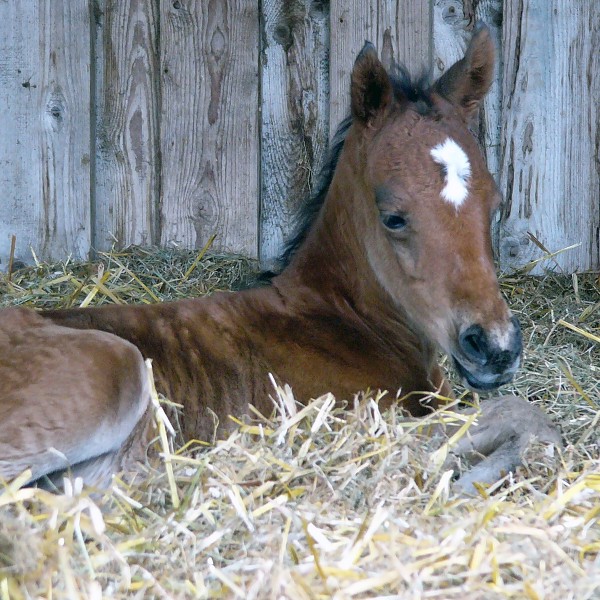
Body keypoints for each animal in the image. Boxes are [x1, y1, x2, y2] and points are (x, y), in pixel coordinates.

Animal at [0, 25, 560, 490]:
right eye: (393, 217)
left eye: (495, 203)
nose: (494, 347)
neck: (341, 322)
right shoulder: (350, 422)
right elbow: (522, 416)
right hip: (116, 368)